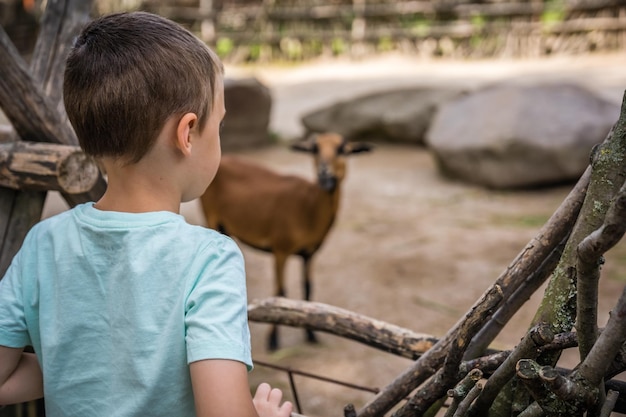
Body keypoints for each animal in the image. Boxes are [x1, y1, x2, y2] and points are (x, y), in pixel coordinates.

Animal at [200, 132, 370, 350]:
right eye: (314, 148)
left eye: (342, 149)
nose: (324, 174)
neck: (309, 207)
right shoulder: (280, 250)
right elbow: (280, 293)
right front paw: (273, 341)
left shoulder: (309, 254)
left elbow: (308, 289)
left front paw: (311, 334)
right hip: (210, 215)